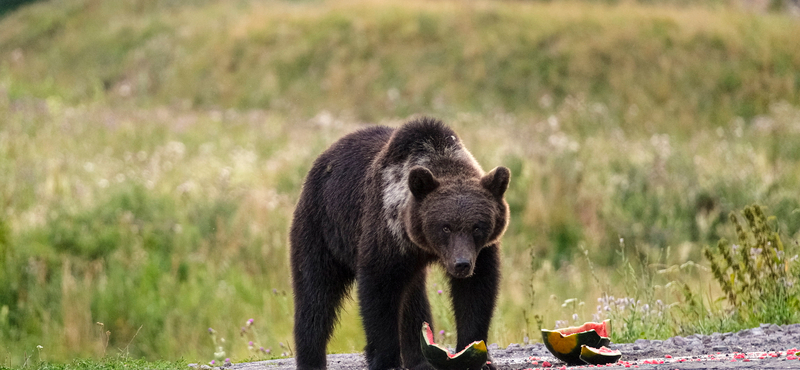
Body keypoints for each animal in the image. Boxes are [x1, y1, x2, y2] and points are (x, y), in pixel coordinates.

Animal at [290, 116, 510, 370]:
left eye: (477, 226)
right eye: (445, 226)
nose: (461, 264)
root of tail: (323, 158)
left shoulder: (480, 252)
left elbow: (476, 291)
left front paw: (476, 355)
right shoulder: (387, 233)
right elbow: (379, 292)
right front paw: (386, 360)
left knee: (413, 300)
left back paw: (420, 359)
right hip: (321, 228)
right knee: (316, 293)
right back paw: (311, 359)